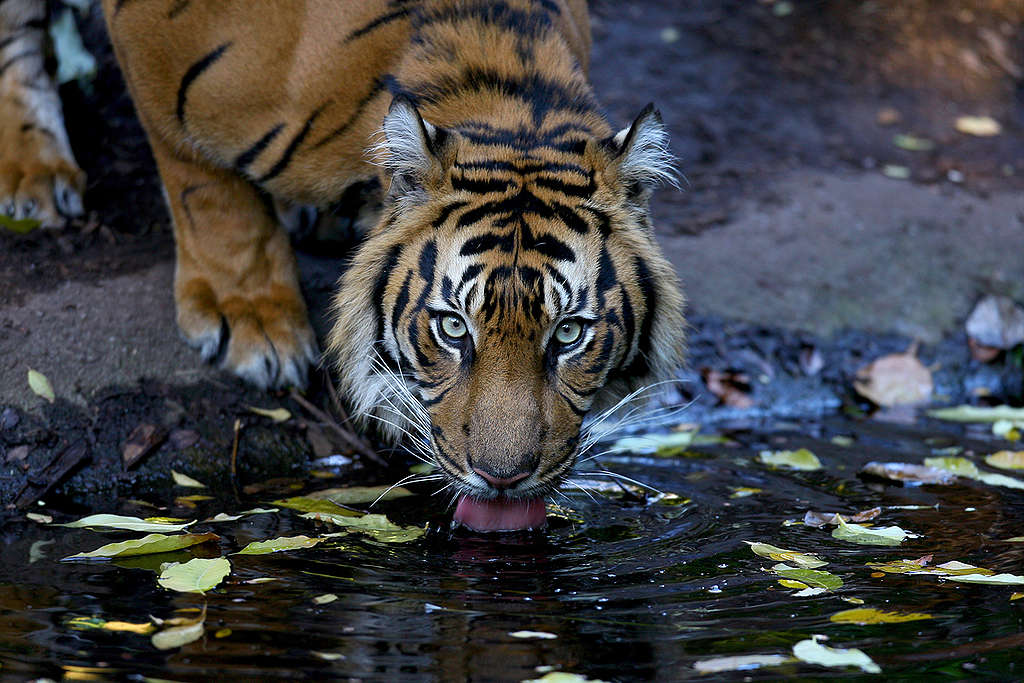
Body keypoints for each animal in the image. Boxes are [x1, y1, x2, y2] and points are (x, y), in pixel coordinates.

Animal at [4, 0, 688, 532]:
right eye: (453, 328)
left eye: (568, 333)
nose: (502, 479)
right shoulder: (157, 59)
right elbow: (206, 186)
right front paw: (252, 323)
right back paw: (33, 171)